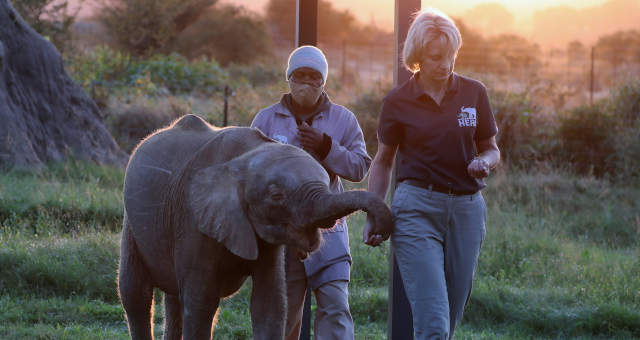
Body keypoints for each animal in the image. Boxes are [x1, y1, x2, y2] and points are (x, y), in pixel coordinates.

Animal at [117, 115, 392, 340]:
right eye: (276, 196)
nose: (376, 233)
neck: (243, 158)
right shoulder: (192, 217)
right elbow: (201, 302)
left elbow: (269, 302)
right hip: (132, 223)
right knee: (136, 294)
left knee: (173, 298)